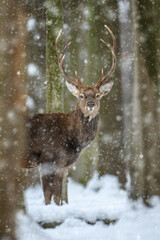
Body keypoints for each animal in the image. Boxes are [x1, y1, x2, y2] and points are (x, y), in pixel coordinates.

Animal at [25, 25, 115, 204]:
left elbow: (58, 197)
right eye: (81, 95)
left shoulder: (62, 166)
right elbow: (48, 197)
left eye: (98, 95)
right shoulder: (46, 161)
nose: (90, 104)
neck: (73, 140)